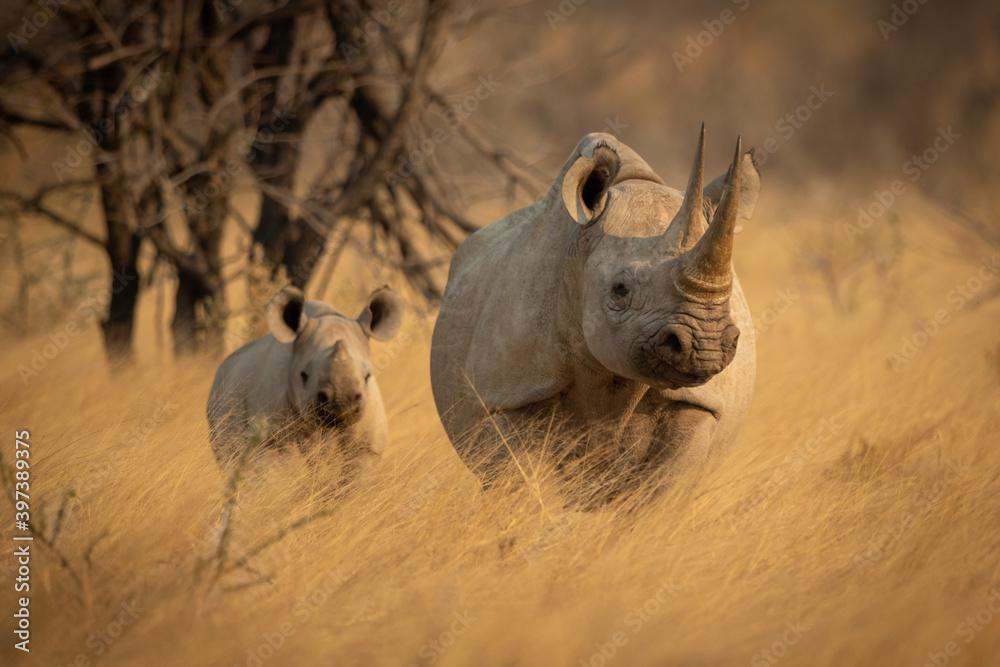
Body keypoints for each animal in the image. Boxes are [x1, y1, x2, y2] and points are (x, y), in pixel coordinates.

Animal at [206, 284, 402, 482]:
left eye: (368, 376)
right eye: (304, 375)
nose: (342, 403)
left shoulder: (366, 446)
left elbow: (352, 480)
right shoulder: (271, 439)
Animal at [428, 128, 756, 498]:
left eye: (729, 291)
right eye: (619, 289)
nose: (707, 346)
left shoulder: (699, 403)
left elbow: (664, 489)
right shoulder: (509, 395)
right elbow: (522, 485)